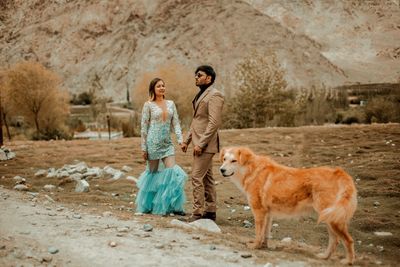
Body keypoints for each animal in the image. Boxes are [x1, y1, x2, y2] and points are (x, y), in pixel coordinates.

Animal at [220, 148, 358, 264]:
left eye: (234, 160)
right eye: (224, 159)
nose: (221, 170)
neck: (252, 170)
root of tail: (338, 172)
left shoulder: (259, 211)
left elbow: (258, 233)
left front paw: (254, 246)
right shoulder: (268, 213)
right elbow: (265, 233)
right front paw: (263, 246)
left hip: (332, 218)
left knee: (348, 240)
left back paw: (348, 261)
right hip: (328, 217)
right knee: (334, 240)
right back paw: (324, 257)